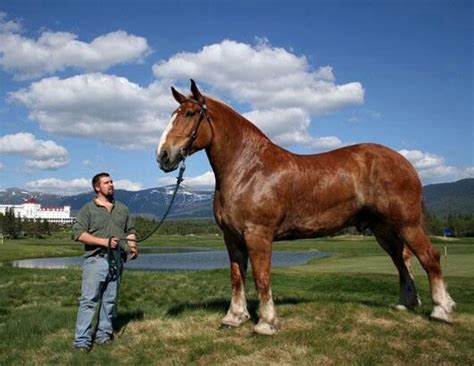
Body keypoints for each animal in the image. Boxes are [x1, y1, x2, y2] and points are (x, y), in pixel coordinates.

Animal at [156, 79, 456, 334]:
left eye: (190, 114)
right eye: (173, 113)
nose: (163, 156)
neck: (249, 169)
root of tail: (405, 163)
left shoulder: (258, 235)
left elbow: (262, 277)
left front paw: (266, 323)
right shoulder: (232, 238)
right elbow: (237, 277)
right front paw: (234, 318)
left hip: (407, 223)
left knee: (429, 257)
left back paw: (442, 310)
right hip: (384, 230)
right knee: (401, 260)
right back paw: (406, 303)